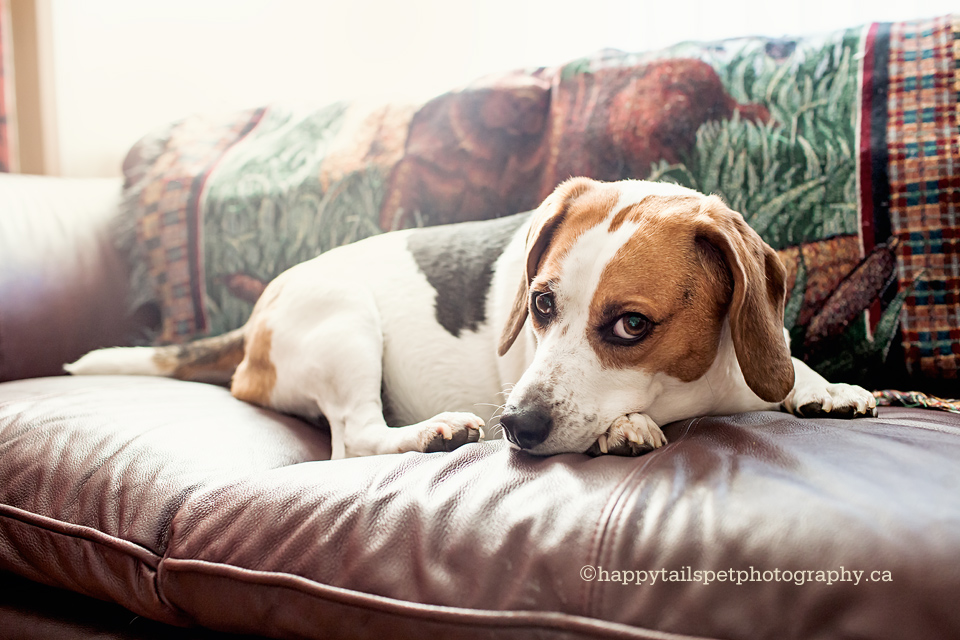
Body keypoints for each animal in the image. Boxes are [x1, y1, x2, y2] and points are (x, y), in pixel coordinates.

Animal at [65, 180, 876, 458]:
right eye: (541, 304)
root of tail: (266, 301)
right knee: (353, 442)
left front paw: (822, 387)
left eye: (631, 326)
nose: (514, 425)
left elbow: (787, 369)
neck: (698, 386)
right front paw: (625, 427)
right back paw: (434, 433)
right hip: (346, 324)